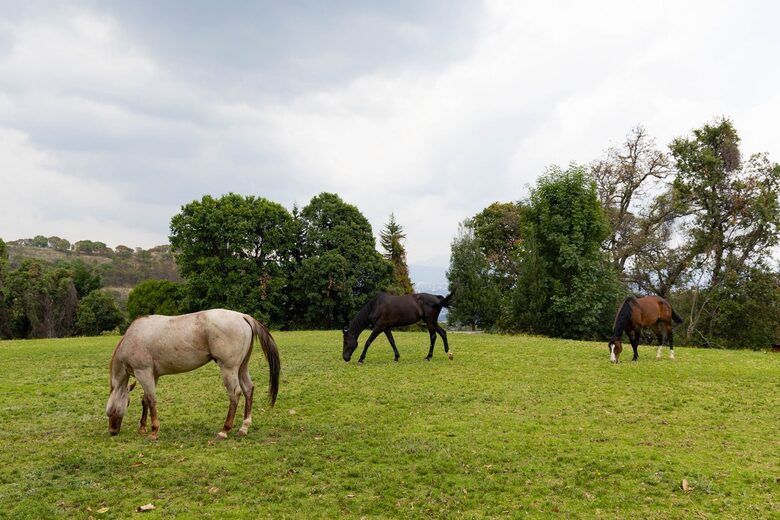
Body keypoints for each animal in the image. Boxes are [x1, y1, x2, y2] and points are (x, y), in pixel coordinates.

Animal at [106, 309, 280, 440]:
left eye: (110, 411)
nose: (112, 432)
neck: (133, 337)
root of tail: (242, 316)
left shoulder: (143, 372)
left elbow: (151, 400)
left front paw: (154, 431)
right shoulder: (153, 375)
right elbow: (145, 400)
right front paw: (142, 428)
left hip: (229, 368)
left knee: (235, 393)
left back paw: (225, 430)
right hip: (241, 367)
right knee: (248, 389)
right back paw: (244, 427)